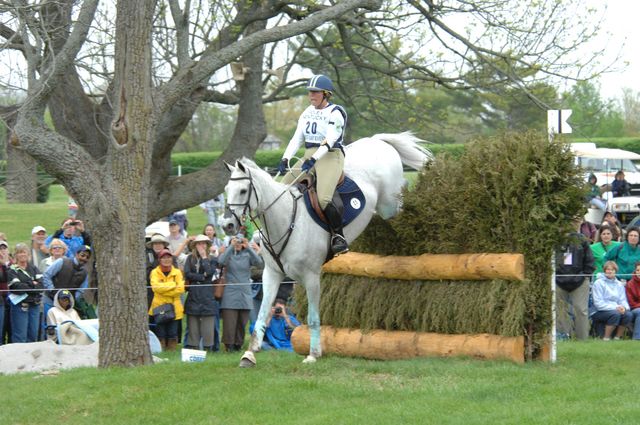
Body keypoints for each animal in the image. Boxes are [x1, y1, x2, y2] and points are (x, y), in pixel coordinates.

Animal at [224, 132, 430, 364]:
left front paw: (313, 354)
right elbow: (262, 314)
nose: (227, 225)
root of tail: (377, 140)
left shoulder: (311, 276)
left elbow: (313, 317)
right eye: (226, 190)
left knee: (403, 197)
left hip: (390, 204)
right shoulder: (272, 273)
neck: (286, 219)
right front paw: (249, 354)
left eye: (243, 191)